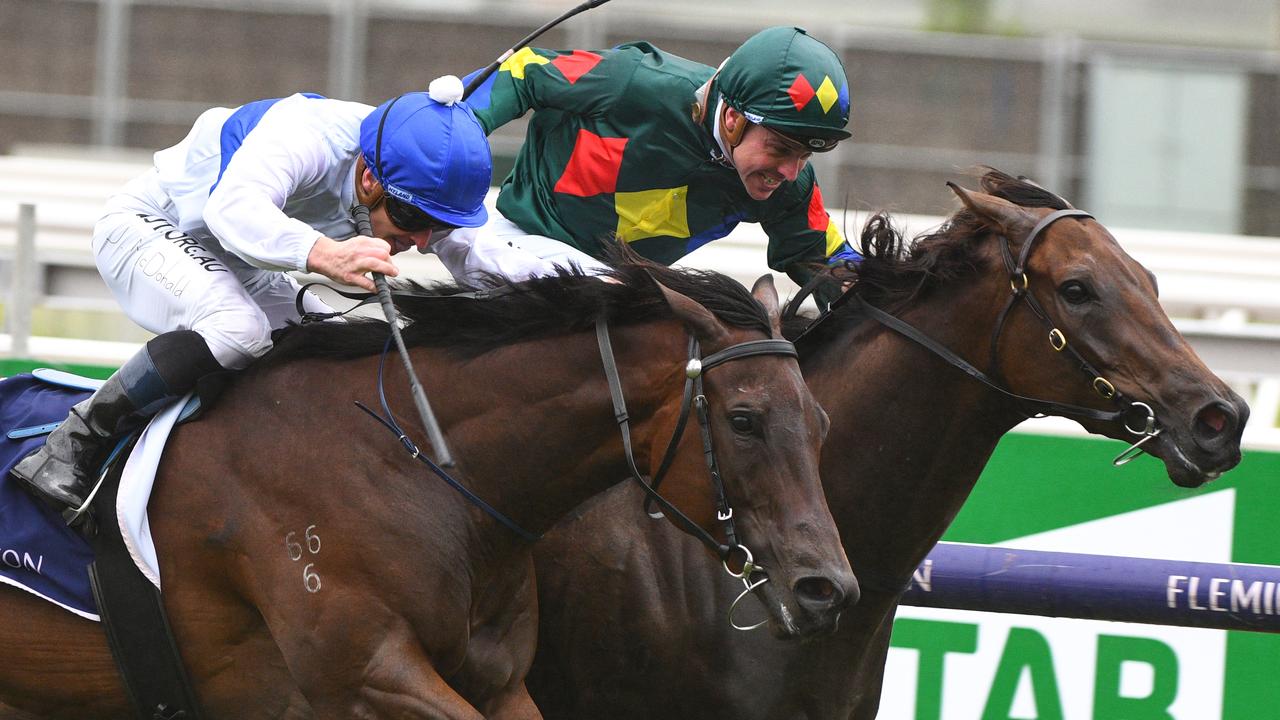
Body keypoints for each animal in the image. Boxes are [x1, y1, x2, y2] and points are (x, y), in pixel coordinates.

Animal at [2, 258, 860, 717]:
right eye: (745, 420)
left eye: (821, 421)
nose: (829, 589)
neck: (415, 467)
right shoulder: (365, 678)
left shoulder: (501, 683)